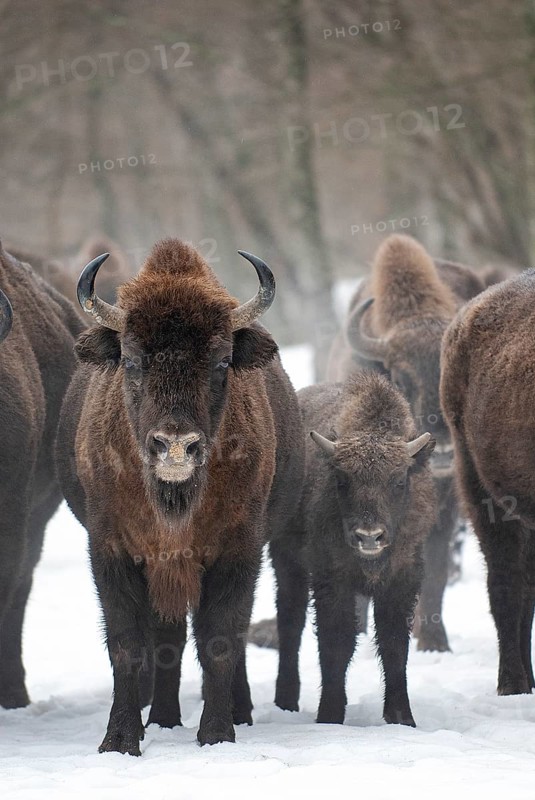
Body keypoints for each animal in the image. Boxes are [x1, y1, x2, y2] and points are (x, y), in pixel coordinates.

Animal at [55, 238, 305, 755]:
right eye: (131, 360)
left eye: (221, 362)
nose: (174, 445)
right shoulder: (113, 549)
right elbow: (128, 643)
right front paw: (120, 740)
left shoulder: (237, 550)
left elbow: (222, 641)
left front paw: (217, 734)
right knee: (167, 634)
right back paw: (164, 718)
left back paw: (235, 712)